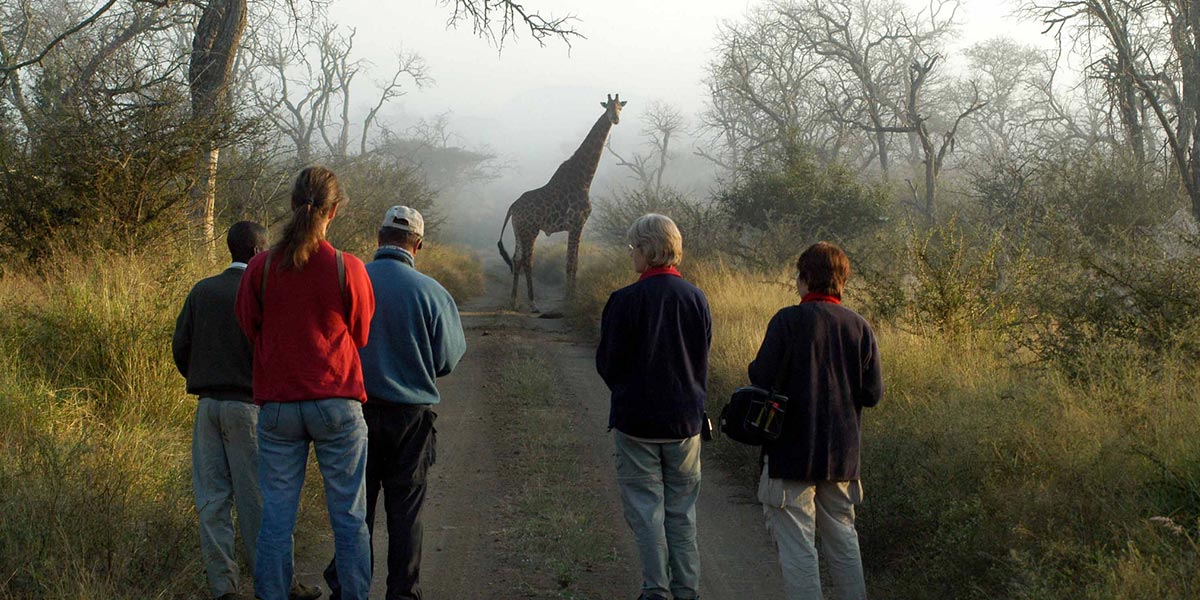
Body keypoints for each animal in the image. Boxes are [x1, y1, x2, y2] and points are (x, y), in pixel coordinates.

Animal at [499, 94, 628, 309]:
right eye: (608, 107)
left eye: (620, 107)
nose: (616, 119)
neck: (584, 179)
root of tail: (512, 207)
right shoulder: (575, 224)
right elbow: (569, 264)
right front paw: (569, 299)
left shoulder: (580, 225)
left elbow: (575, 263)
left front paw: (573, 296)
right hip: (530, 230)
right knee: (527, 261)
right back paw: (533, 303)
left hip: (518, 229)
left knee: (516, 260)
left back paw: (513, 301)